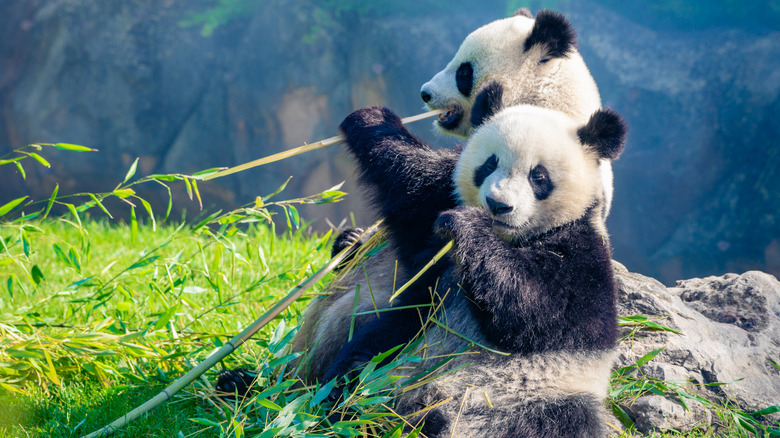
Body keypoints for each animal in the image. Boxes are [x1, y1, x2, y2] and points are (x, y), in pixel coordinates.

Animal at [290, 10, 608, 384]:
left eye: (463, 72)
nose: (425, 93)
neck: (552, 103)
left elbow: (420, 191)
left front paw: (370, 118)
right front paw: (349, 239)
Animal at [320, 83, 624, 438]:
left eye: (538, 177)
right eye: (489, 165)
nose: (497, 205)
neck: (511, 238)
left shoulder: (583, 257)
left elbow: (537, 308)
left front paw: (467, 224)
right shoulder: (438, 227)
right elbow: (415, 186)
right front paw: (371, 119)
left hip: (536, 395)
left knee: (569, 419)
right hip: (400, 350)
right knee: (360, 364)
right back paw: (346, 407)